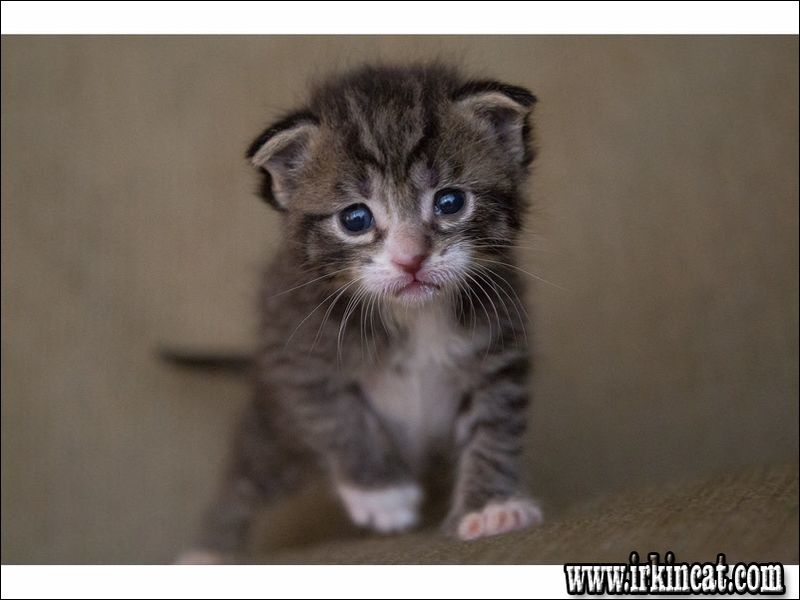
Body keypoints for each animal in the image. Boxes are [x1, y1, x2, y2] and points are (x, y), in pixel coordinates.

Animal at [180, 62, 540, 564]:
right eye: (355, 219)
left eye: (450, 202)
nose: (411, 260)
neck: (413, 317)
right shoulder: (297, 355)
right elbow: (339, 419)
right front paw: (381, 494)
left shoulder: (499, 348)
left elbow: (495, 426)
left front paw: (491, 508)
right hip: (277, 433)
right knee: (244, 480)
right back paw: (207, 553)